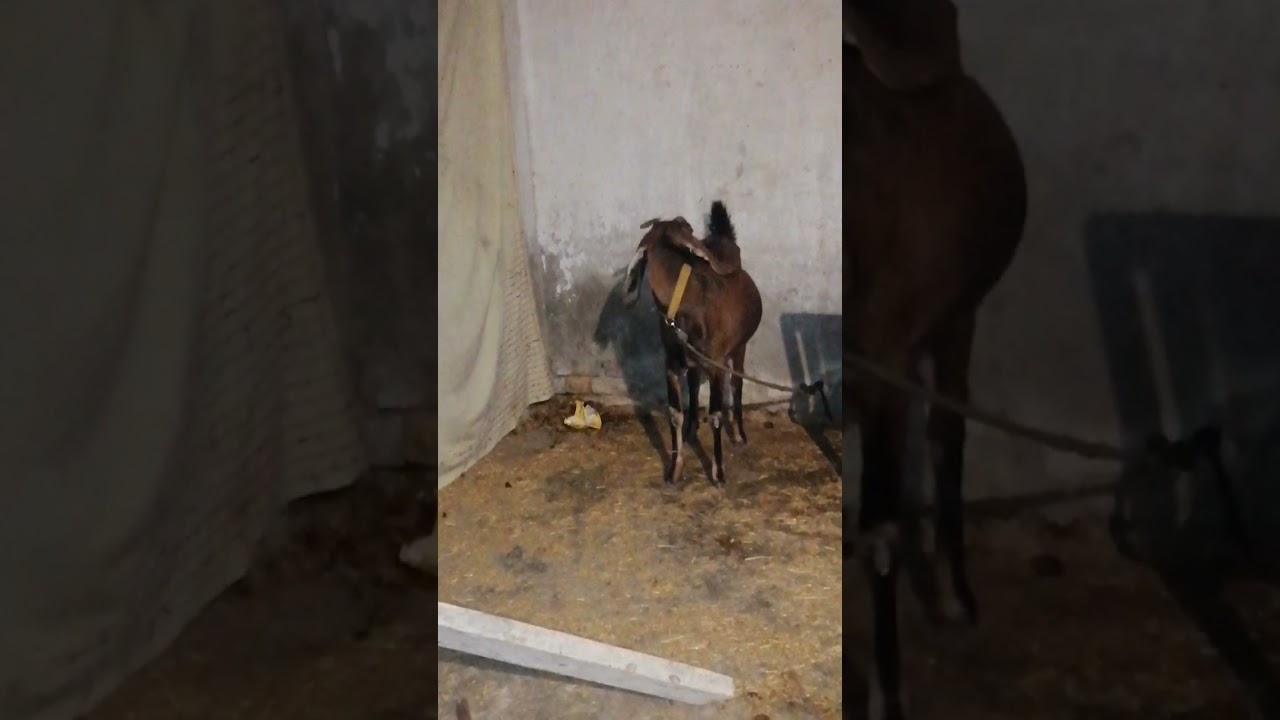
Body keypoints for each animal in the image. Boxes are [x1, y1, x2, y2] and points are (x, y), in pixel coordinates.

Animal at [622, 201, 762, 486]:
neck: (686, 306)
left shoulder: (717, 363)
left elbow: (717, 415)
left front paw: (718, 473)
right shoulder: (671, 364)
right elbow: (675, 412)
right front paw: (674, 469)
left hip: (739, 348)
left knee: (737, 384)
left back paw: (739, 434)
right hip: (695, 360)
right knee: (695, 384)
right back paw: (690, 430)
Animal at [845, 0, 1027, 718]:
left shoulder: (888, 362)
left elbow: (882, 528)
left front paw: (887, 690)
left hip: (955, 322)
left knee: (948, 436)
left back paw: (955, 592)